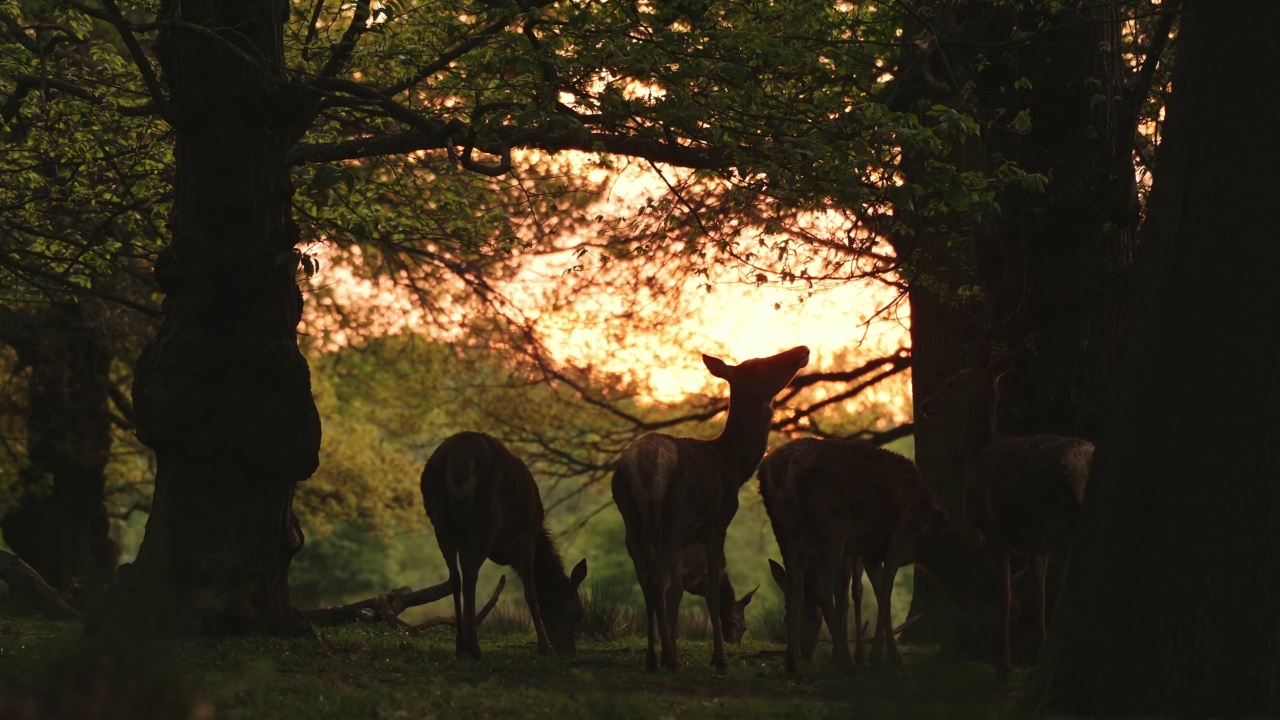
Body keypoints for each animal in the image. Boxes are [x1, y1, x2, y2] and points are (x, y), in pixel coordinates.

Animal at [419, 430, 588, 655]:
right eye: (578, 613)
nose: (570, 650)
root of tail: (458, 461)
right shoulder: (526, 536)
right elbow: (531, 592)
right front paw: (543, 647)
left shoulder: (465, 543)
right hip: (487, 516)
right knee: (471, 572)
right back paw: (474, 648)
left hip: (440, 518)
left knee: (455, 577)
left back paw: (461, 645)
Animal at [611, 340, 808, 666]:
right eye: (757, 365)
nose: (802, 349)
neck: (732, 466)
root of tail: (642, 464)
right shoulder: (718, 523)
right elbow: (711, 592)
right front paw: (719, 659)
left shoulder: (686, 540)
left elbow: (677, 591)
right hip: (672, 517)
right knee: (657, 579)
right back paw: (668, 660)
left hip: (632, 524)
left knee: (647, 581)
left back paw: (653, 658)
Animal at [752, 430, 1003, 671]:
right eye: (990, 597)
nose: (993, 653)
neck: (925, 537)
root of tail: (780, 470)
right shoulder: (900, 538)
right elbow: (886, 595)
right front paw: (887, 658)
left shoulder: (871, 553)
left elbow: (879, 593)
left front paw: (881, 656)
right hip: (832, 523)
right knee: (824, 588)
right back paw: (846, 662)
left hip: (784, 528)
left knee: (795, 587)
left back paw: (792, 660)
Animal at [921, 345, 1090, 676]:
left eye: (951, 382)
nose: (926, 404)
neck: (979, 455)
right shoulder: (1036, 547)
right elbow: (1038, 599)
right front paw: (1036, 656)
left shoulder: (992, 533)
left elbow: (1005, 597)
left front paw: (1005, 665)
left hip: (1060, 521)